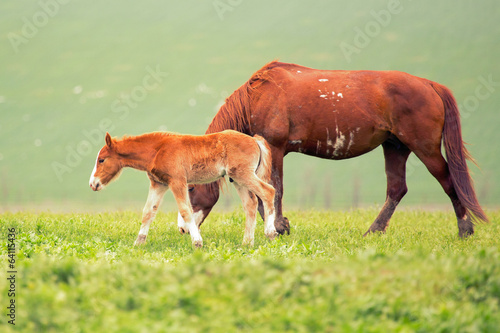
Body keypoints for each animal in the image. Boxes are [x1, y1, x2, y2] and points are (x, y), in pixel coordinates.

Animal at [90, 130, 278, 246]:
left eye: (101, 160)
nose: (93, 184)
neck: (158, 149)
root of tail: (254, 139)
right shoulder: (159, 184)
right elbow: (148, 212)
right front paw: (138, 243)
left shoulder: (177, 181)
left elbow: (186, 210)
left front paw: (197, 242)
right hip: (237, 179)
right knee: (250, 205)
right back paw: (247, 243)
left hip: (243, 174)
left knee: (268, 191)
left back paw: (270, 233)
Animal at [184, 59, 488, 236]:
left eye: (191, 189)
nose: (185, 230)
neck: (257, 96)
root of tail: (429, 84)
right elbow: (263, 194)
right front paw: (277, 225)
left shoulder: (275, 147)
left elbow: (274, 189)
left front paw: (279, 226)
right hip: (395, 147)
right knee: (396, 189)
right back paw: (374, 231)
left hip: (425, 148)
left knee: (448, 181)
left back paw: (465, 229)